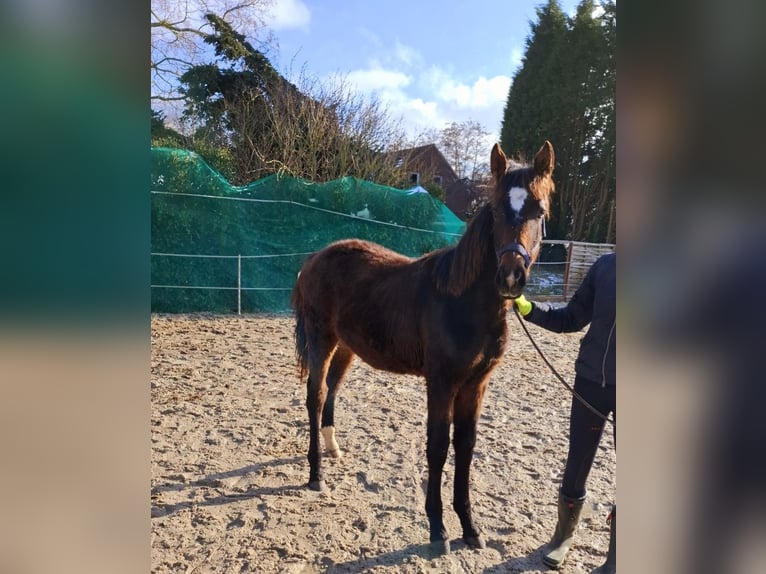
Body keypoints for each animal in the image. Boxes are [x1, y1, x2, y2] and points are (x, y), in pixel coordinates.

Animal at [292, 142, 556, 556]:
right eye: (498, 210)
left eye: (539, 211)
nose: (512, 277)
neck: (463, 301)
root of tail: (315, 258)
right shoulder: (442, 382)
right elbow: (438, 446)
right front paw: (437, 529)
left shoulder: (475, 386)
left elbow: (466, 447)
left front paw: (470, 528)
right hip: (321, 338)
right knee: (316, 395)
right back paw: (316, 474)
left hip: (347, 346)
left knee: (332, 389)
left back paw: (334, 449)